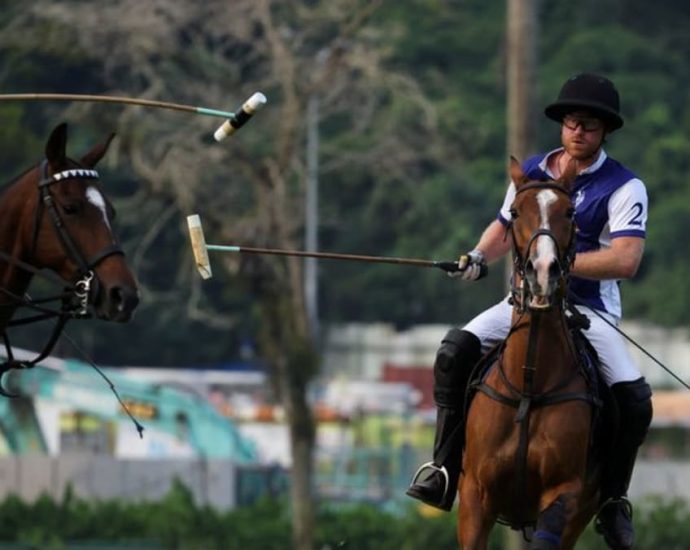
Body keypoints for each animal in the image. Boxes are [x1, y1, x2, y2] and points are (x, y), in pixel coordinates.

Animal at [460, 157, 600, 548]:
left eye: (570, 211)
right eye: (514, 211)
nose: (542, 273)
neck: (529, 386)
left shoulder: (564, 492)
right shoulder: (474, 494)